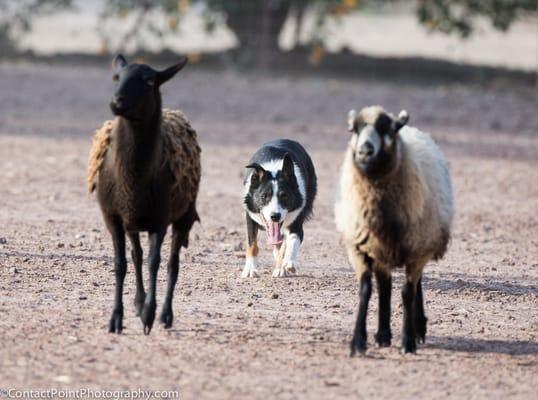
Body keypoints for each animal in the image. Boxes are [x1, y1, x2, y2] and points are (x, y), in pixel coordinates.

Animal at [242, 139, 314, 276]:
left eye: (284, 196)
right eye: (264, 196)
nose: (275, 216)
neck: (274, 171)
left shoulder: (296, 220)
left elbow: (293, 240)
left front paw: (289, 262)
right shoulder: (250, 216)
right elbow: (252, 244)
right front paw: (250, 269)